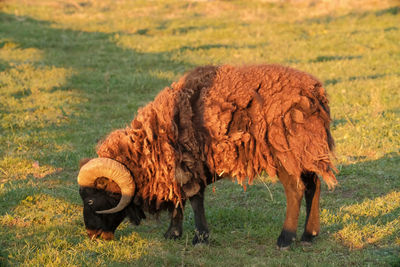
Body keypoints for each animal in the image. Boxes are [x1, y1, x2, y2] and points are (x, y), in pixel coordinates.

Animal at [76, 64, 336, 249]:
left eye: (90, 201)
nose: (92, 235)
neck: (148, 145)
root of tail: (315, 94)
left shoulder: (188, 164)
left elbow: (193, 199)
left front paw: (200, 237)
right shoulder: (179, 168)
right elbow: (179, 200)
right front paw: (173, 233)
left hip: (285, 153)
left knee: (296, 191)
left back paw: (285, 238)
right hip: (307, 150)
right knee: (314, 186)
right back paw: (309, 235)